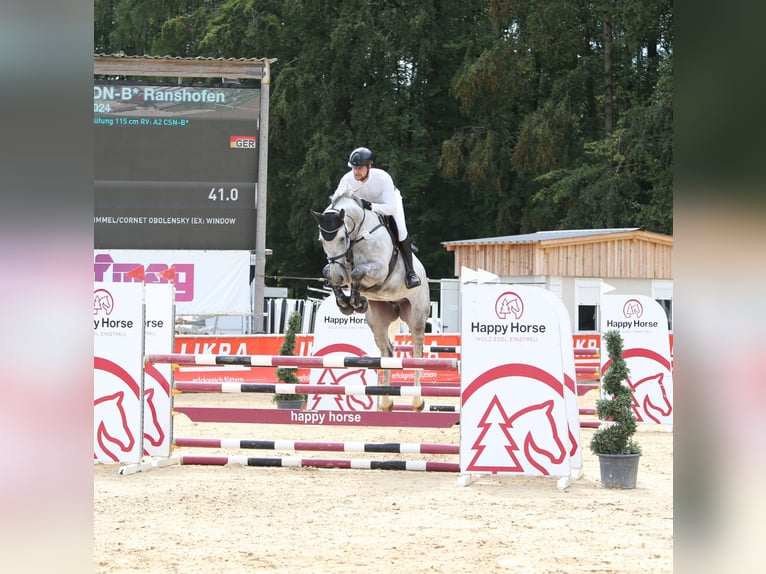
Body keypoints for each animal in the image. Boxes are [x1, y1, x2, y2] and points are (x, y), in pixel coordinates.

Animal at [312, 191, 432, 412]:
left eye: (342, 238)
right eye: (321, 240)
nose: (338, 277)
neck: (358, 236)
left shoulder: (378, 270)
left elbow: (358, 273)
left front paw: (355, 301)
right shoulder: (340, 268)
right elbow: (331, 273)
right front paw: (348, 303)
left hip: (416, 316)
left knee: (417, 352)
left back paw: (417, 401)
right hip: (378, 321)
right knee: (388, 352)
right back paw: (386, 402)